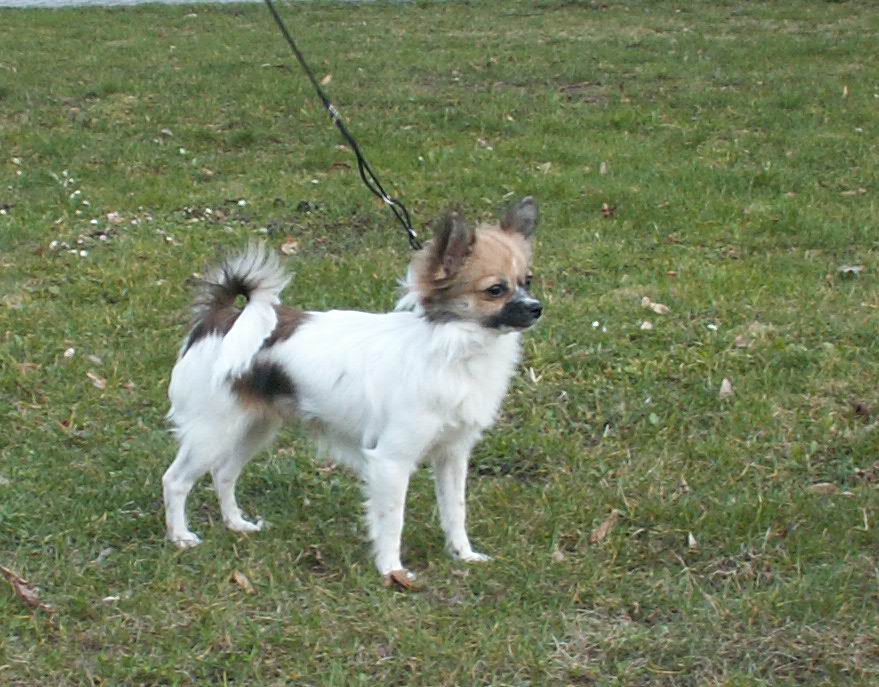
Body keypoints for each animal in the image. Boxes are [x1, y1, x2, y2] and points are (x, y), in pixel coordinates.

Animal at [162, 196, 542, 578]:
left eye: (527, 280)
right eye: (495, 290)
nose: (537, 308)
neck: (454, 351)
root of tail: (221, 319)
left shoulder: (452, 454)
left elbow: (455, 511)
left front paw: (463, 554)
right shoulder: (391, 460)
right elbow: (392, 520)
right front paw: (392, 572)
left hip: (253, 427)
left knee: (224, 473)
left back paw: (236, 524)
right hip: (212, 432)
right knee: (175, 480)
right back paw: (180, 537)